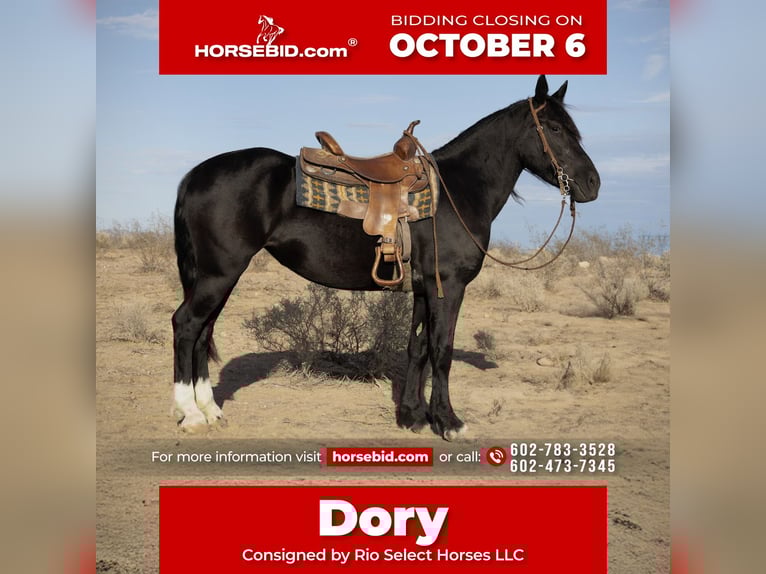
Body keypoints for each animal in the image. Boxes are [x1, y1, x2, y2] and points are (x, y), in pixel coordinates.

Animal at [171, 75, 600, 440]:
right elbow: (442, 351)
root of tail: (196, 174)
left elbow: (418, 348)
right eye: (556, 129)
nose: (592, 184)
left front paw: (411, 415)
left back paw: (210, 409)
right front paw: (448, 421)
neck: (459, 191)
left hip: (219, 276)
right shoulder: (449, 288)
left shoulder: (425, 289)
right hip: (219, 274)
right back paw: (190, 414)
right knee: (186, 325)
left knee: (203, 331)